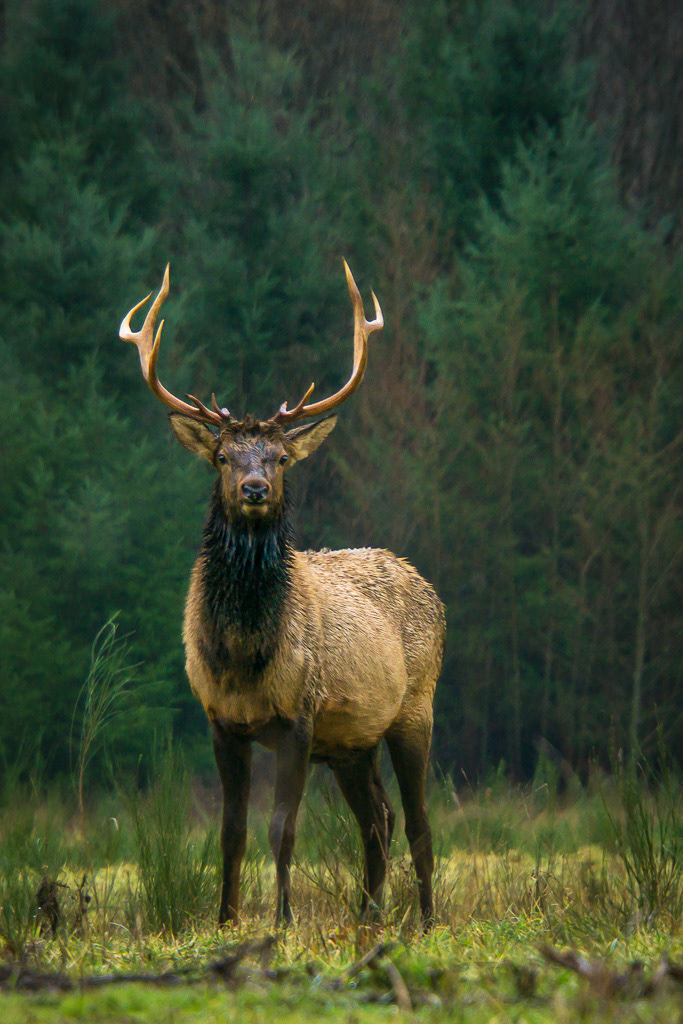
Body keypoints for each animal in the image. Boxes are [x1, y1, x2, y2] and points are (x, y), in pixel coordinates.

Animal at [119, 262, 445, 928]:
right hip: (352, 744)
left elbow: (282, 830)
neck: (244, 656)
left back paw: (425, 921)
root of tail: (429, 587)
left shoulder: (300, 715)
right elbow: (231, 833)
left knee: (418, 824)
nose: (253, 488)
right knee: (378, 821)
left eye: (280, 457)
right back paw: (368, 916)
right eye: (222, 455)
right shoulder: (222, 721)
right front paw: (225, 919)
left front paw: (283, 920)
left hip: (414, 709)